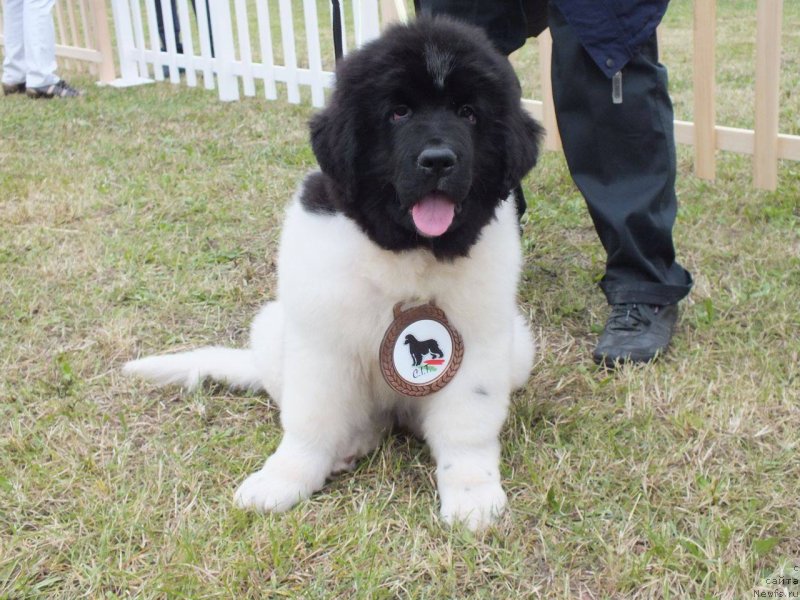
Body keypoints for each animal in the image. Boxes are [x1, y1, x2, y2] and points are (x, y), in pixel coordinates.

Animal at [125, 16, 548, 528]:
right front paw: (283, 479)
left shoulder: (477, 342)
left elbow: (468, 426)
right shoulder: (319, 339)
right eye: (399, 112)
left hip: (519, 345)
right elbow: (312, 420)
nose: (438, 160)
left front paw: (472, 493)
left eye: (468, 113)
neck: (406, 252)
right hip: (272, 327)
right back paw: (348, 445)